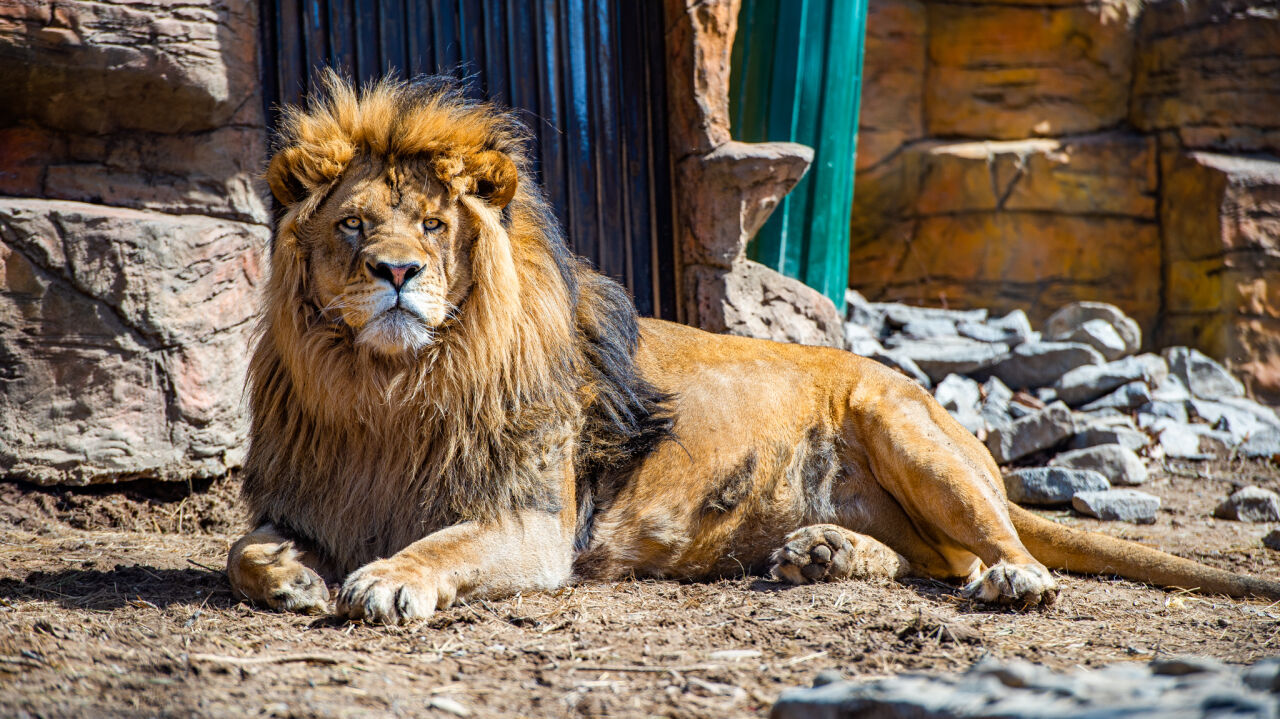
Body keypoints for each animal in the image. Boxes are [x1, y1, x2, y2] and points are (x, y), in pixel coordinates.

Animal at [230, 72, 1280, 621]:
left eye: (435, 226)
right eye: (355, 226)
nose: (397, 271)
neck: (390, 391)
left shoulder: (529, 522)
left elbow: (438, 541)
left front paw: (385, 578)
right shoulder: (307, 493)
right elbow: (243, 550)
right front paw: (293, 576)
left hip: (904, 424)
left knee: (1002, 545)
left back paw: (1006, 576)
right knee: (938, 562)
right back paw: (824, 552)